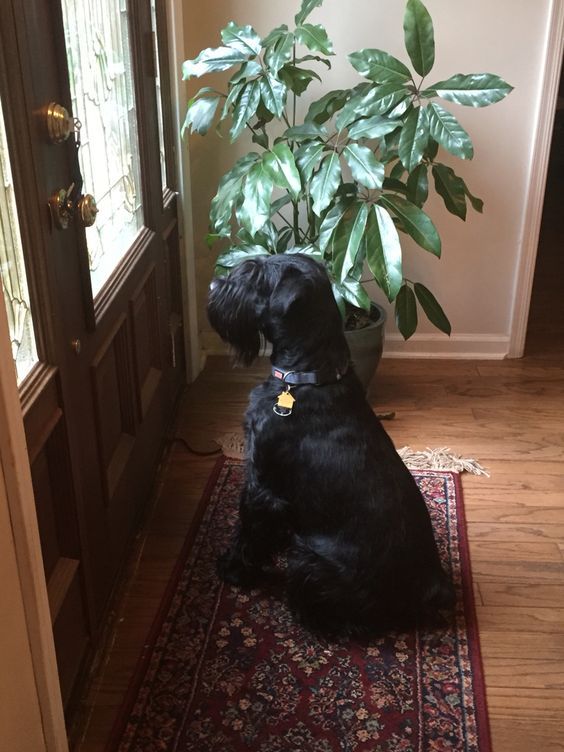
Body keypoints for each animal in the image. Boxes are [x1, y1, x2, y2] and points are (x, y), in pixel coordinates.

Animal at [207, 256, 454, 636]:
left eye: (254, 275)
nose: (212, 287)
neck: (306, 377)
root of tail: (429, 588)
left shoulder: (262, 487)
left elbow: (247, 531)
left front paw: (233, 569)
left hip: (309, 561)